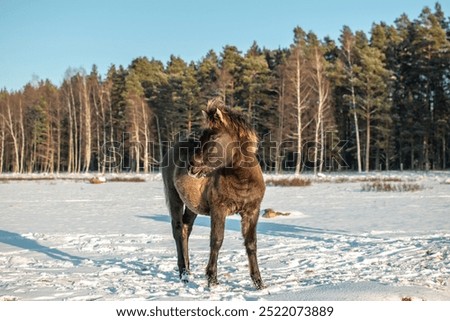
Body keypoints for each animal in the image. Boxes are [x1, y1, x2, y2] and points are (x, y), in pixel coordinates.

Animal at [162, 97, 266, 288]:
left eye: (214, 137)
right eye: (201, 137)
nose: (191, 166)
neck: (242, 180)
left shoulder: (252, 211)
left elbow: (251, 244)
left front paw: (259, 283)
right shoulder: (219, 209)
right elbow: (216, 240)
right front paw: (212, 280)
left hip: (192, 207)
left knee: (186, 230)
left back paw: (188, 271)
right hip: (174, 199)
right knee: (178, 231)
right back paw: (183, 274)